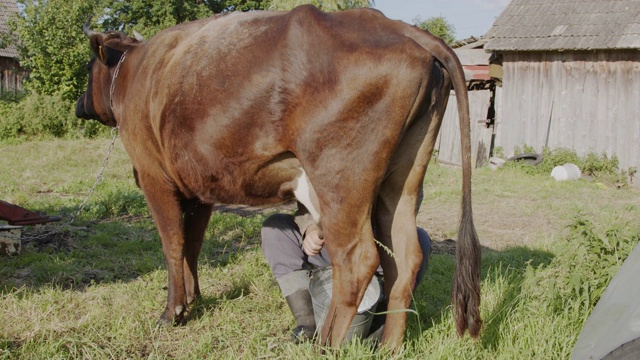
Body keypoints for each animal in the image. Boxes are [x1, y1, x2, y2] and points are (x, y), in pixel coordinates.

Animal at [75, 4, 480, 348]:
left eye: (89, 71)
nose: (80, 105)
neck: (135, 71)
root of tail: (396, 27)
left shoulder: (154, 175)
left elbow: (172, 244)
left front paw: (171, 312)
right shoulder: (199, 189)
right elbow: (192, 244)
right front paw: (194, 298)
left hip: (339, 179)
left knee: (357, 260)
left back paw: (326, 344)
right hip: (402, 181)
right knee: (406, 257)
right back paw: (389, 347)